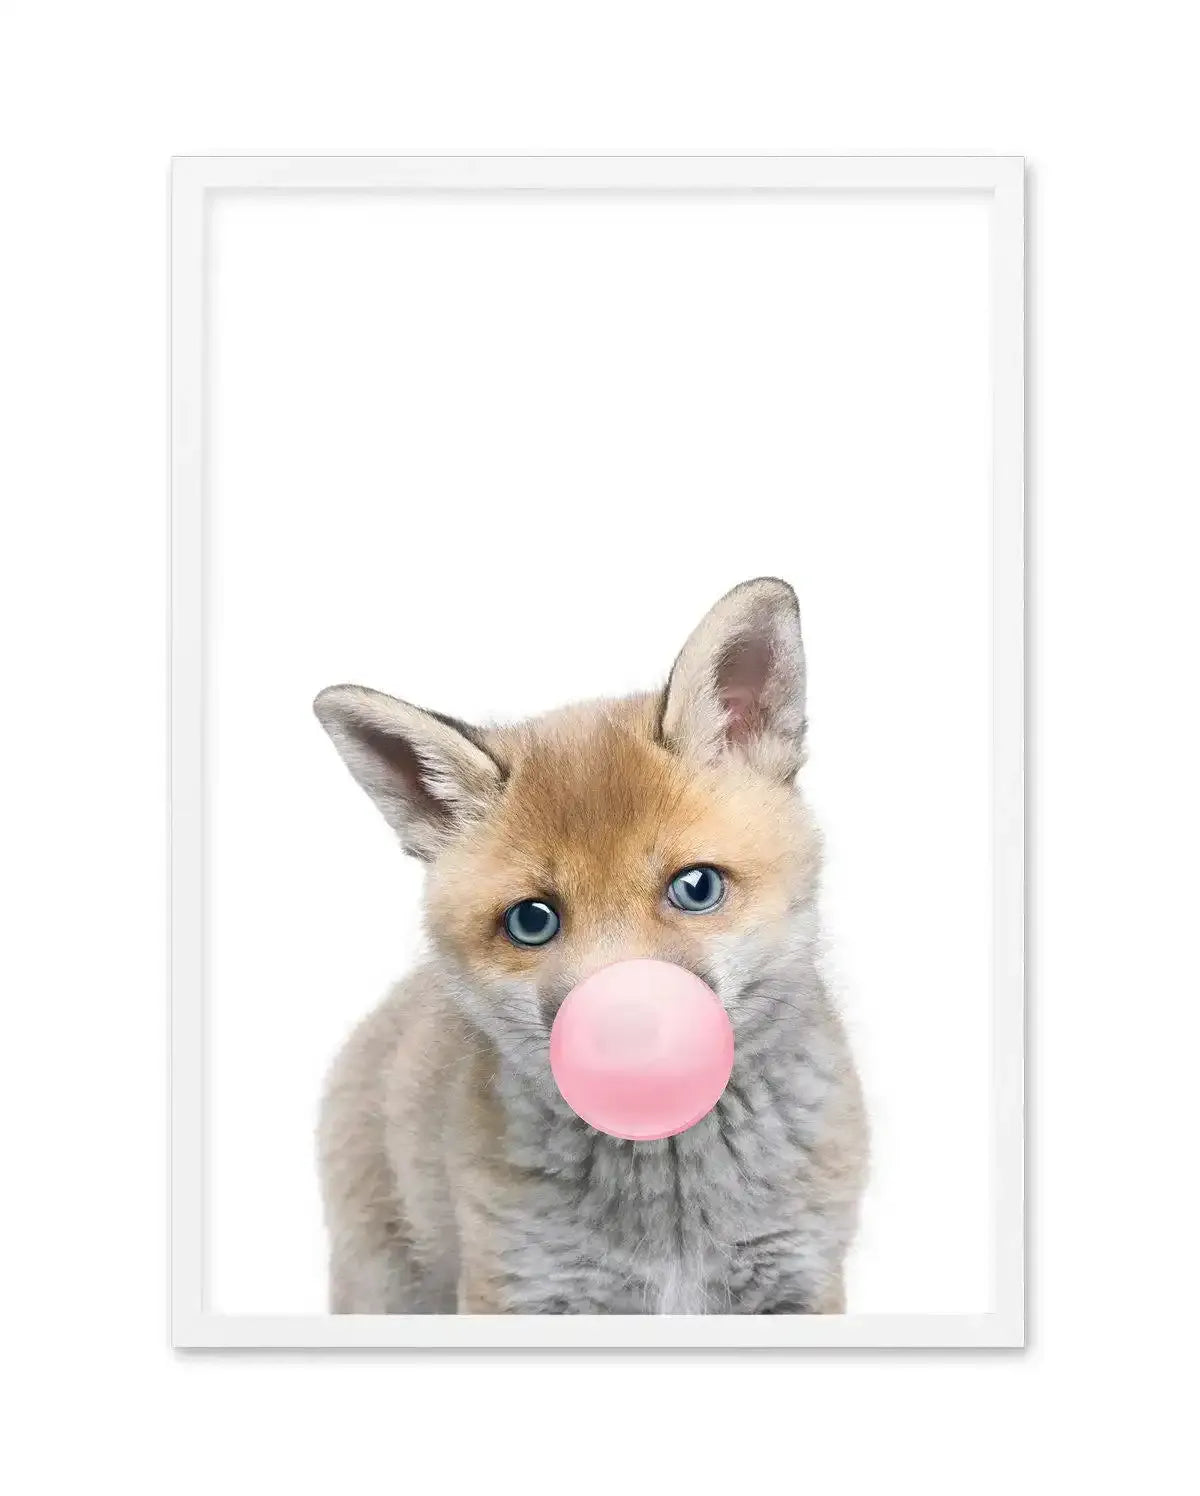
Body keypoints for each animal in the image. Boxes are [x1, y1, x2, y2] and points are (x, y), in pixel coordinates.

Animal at [313, 577, 868, 1314]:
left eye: (696, 887)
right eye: (532, 921)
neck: (674, 1227)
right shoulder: (520, 1287)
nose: (626, 1036)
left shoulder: (799, 1279)